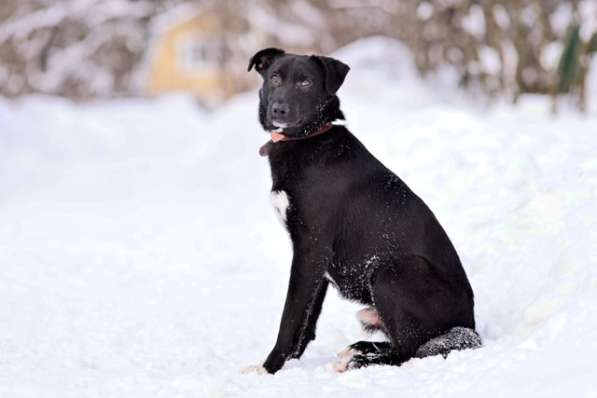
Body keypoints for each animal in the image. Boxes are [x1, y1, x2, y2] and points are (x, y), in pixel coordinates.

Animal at [242, 48, 480, 374]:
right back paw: (358, 349)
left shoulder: (310, 250)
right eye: (275, 77)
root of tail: (469, 323)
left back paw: (359, 361)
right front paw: (289, 362)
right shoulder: (316, 261)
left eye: (305, 82)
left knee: (406, 351)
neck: (308, 140)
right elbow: (307, 321)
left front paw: (269, 369)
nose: (278, 110)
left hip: (391, 271)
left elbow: (291, 317)